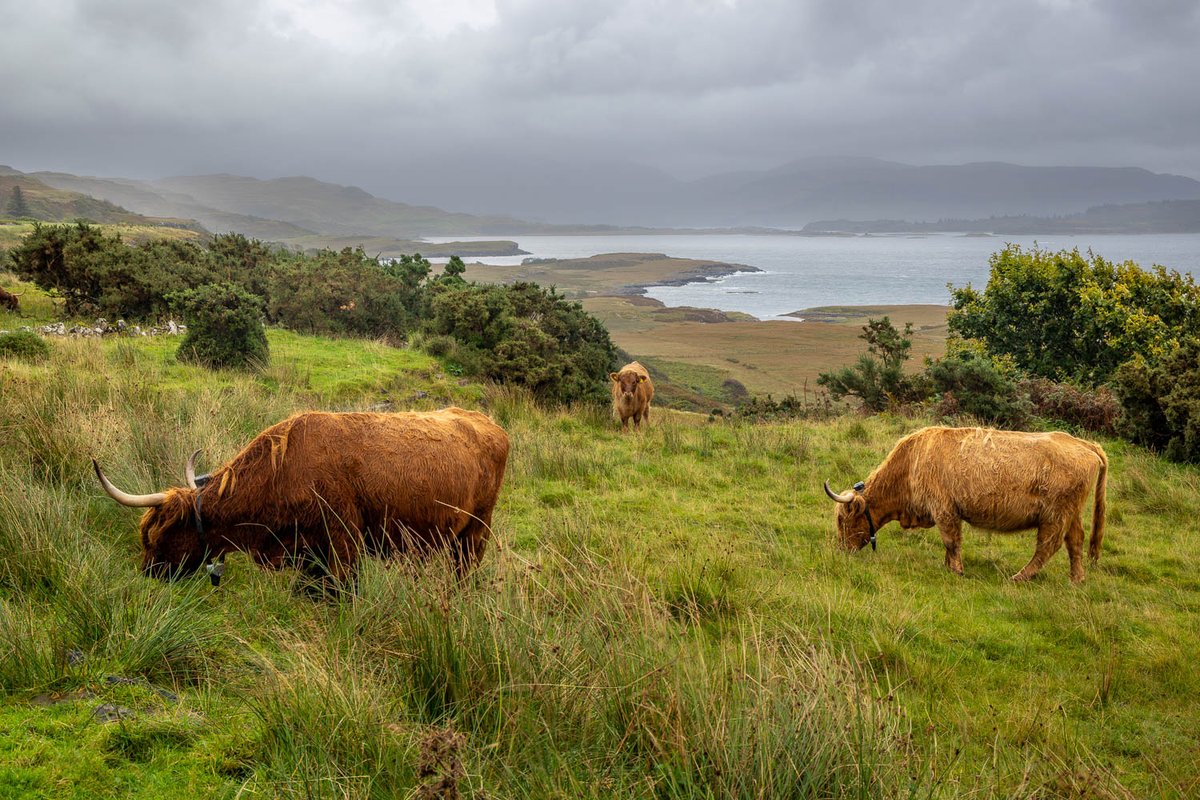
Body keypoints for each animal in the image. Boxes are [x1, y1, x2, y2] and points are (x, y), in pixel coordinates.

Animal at [94, 408, 509, 585]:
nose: (149, 573)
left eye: (156, 536)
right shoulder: (308, 552)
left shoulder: (343, 542)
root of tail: (485, 421)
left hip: (476, 532)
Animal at [823, 426, 1108, 583]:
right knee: (1075, 541)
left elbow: (951, 541)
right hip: (1071, 513)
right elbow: (949, 544)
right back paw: (1076, 579)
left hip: (1055, 515)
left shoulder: (945, 510)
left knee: (1048, 546)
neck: (911, 464)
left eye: (843, 519)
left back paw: (1019, 577)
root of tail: (1084, 444)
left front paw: (957, 570)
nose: (842, 549)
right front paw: (948, 565)